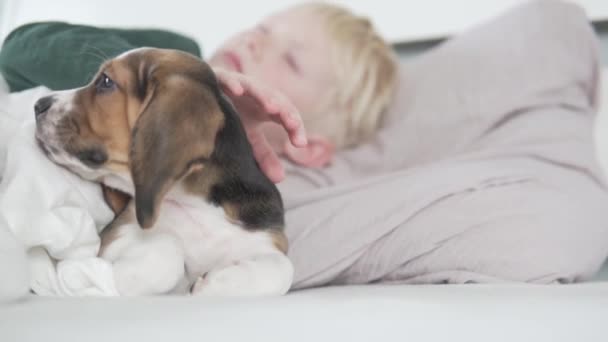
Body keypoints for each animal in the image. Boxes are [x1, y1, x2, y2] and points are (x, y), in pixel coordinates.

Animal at [33, 46, 294, 296]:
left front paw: (212, 285)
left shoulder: (264, 238)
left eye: (106, 82)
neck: (189, 200)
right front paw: (101, 277)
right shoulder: (118, 231)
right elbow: (169, 252)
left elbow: (283, 268)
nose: (38, 105)